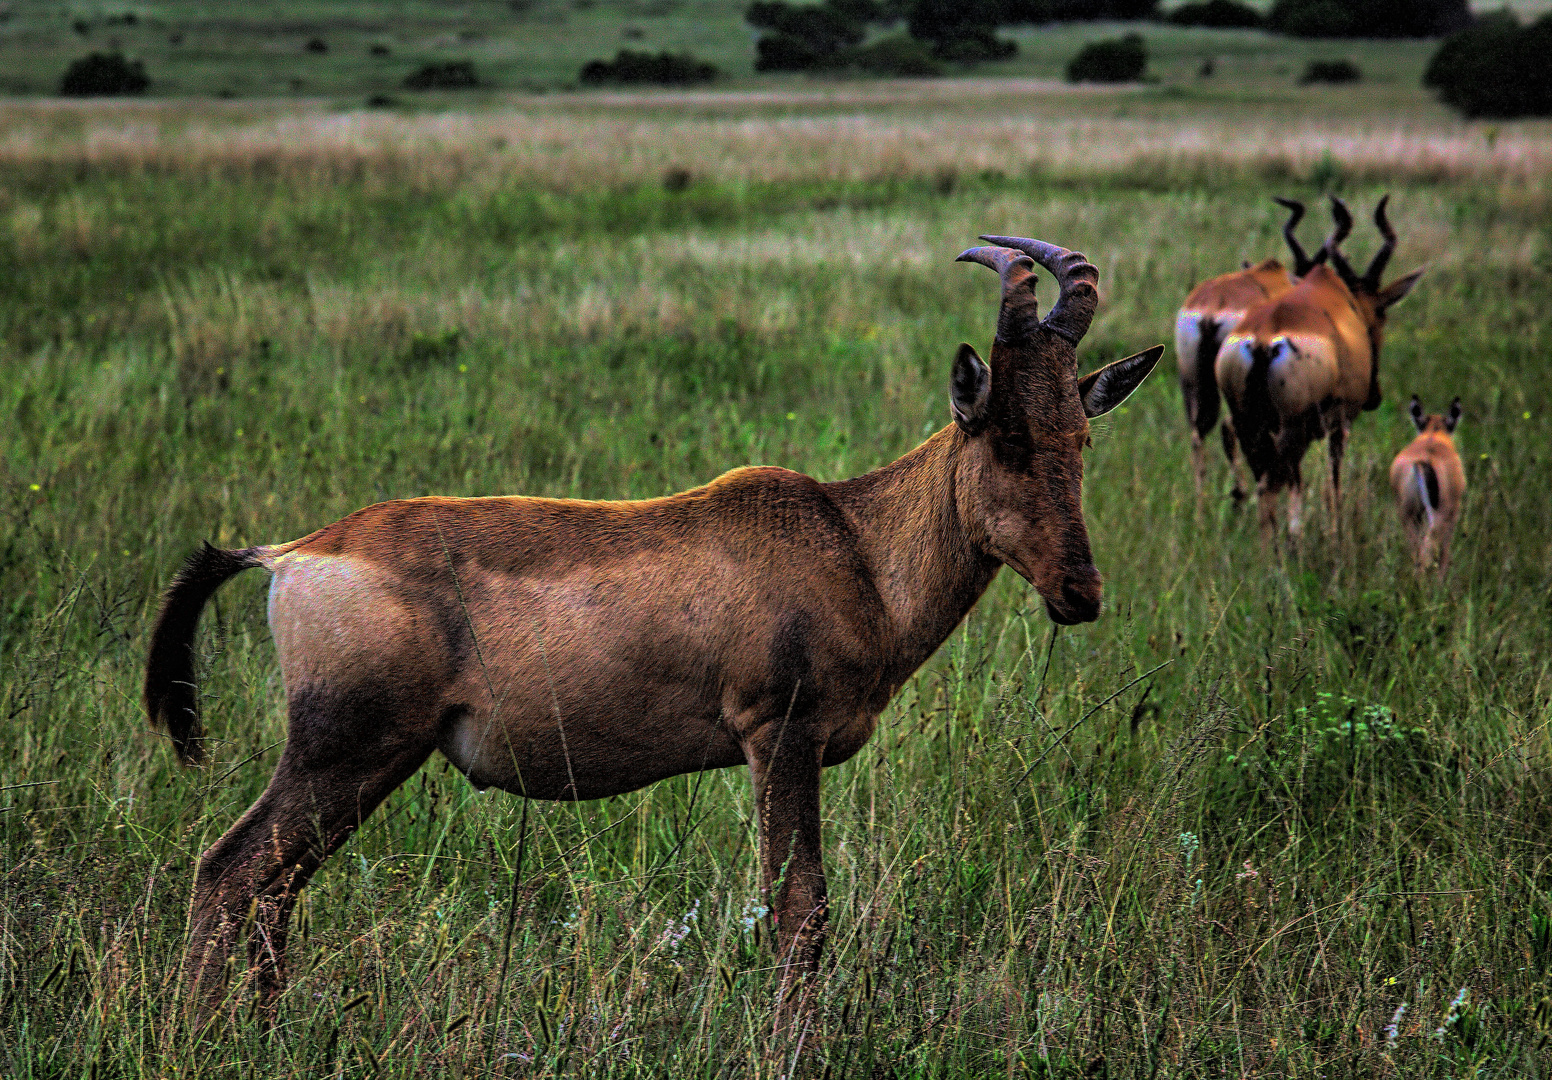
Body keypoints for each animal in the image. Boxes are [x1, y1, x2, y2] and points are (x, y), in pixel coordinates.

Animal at [145, 235, 1167, 1017]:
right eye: (1003, 433)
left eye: (1081, 432)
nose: (1080, 592)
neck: (850, 539)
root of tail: (290, 553)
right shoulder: (778, 736)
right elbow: (800, 913)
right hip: (342, 749)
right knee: (229, 874)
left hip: (364, 763)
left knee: (271, 894)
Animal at [1216, 198, 1421, 536]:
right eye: (1379, 313)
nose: (1374, 396)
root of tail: (1263, 338)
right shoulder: (1340, 422)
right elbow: (1332, 486)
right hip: (1292, 429)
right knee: (1276, 487)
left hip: (1250, 424)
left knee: (1265, 484)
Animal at [1396, 397, 1465, 577]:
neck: (1434, 433)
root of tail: (1423, 461)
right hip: (1439, 515)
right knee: (1428, 553)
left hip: (1408, 513)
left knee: (1417, 552)